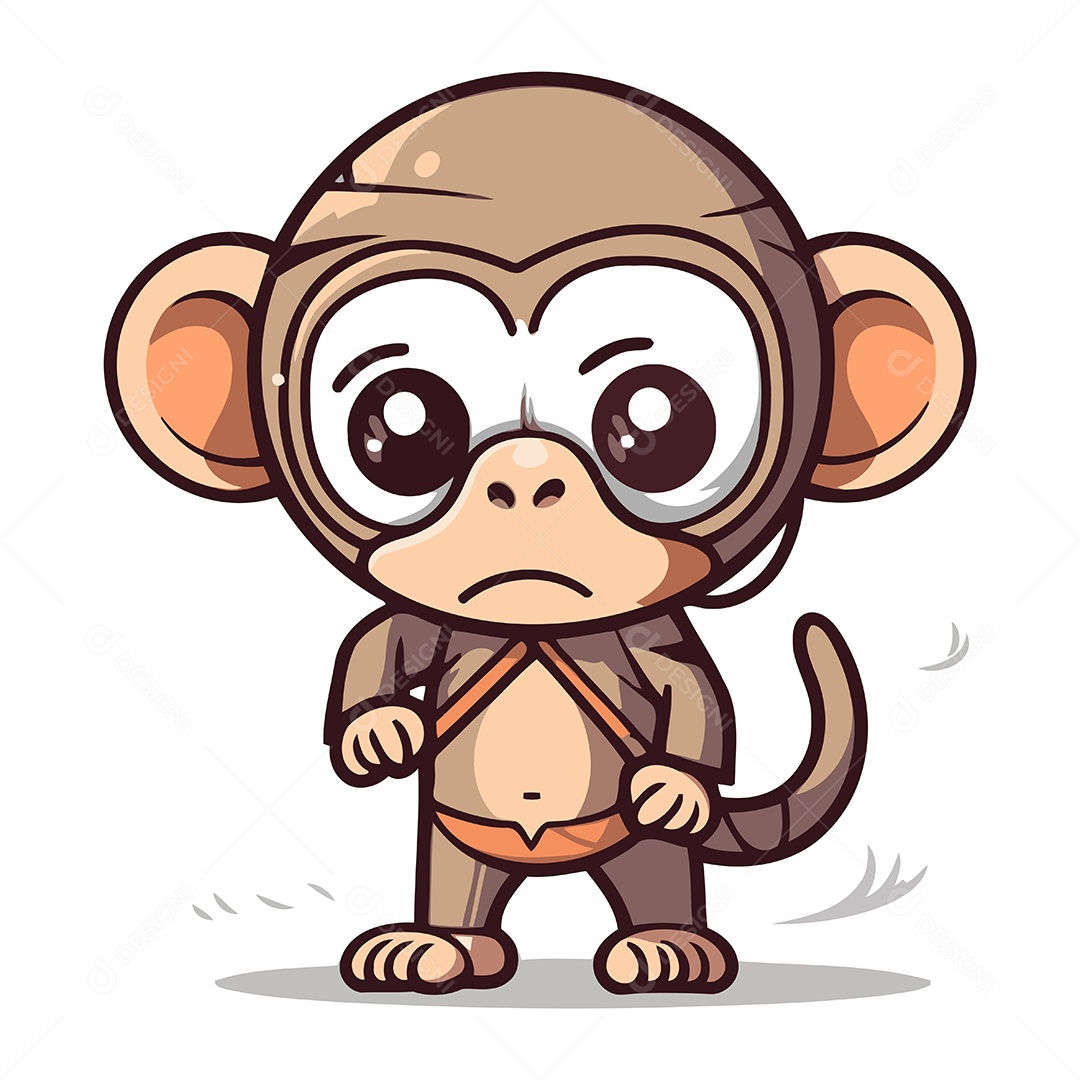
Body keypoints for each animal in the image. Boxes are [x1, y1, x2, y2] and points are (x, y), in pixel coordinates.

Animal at [105, 73, 974, 996]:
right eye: (399, 423)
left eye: (656, 420)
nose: (524, 479)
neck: (536, 630)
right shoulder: (449, 629)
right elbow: (385, 638)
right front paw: (377, 731)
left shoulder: (641, 639)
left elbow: (693, 693)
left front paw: (677, 785)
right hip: (455, 842)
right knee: (462, 887)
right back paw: (440, 946)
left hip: (636, 852)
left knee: (656, 873)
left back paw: (667, 946)